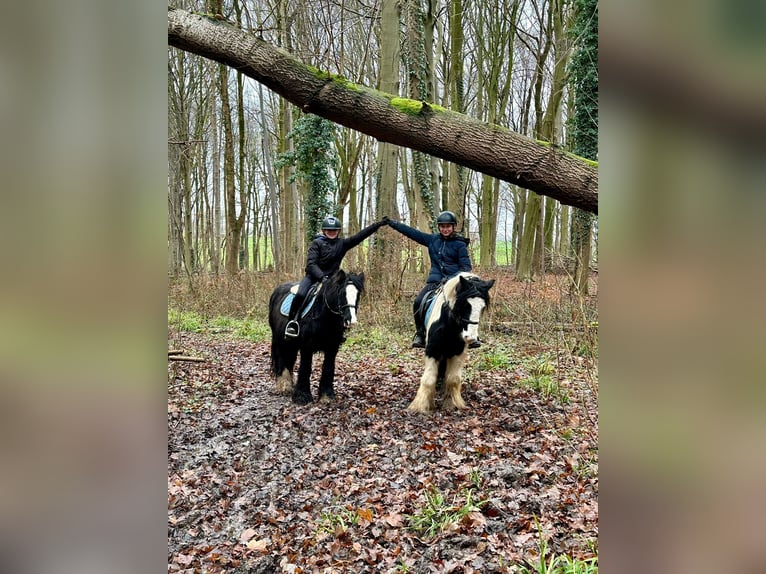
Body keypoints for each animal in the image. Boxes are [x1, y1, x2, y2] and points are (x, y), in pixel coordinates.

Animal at [270, 270, 366, 404]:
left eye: (358, 294)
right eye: (341, 293)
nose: (351, 321)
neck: (324, 317)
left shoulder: (332, 348)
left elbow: (328, 368)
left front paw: (326, 396)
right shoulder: (306, 347)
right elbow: (306, 368)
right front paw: (302, 396)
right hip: (279, 339)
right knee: (281, 358)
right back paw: (284, 386)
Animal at [412, 272, 496, 412]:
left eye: (482, 307)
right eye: (465, 304)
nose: (470, 337)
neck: (449, 324)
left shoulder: (457, 351)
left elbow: (453, 379)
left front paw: (451, 403)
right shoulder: (432, 349)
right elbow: (428, 379)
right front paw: (420, 405)